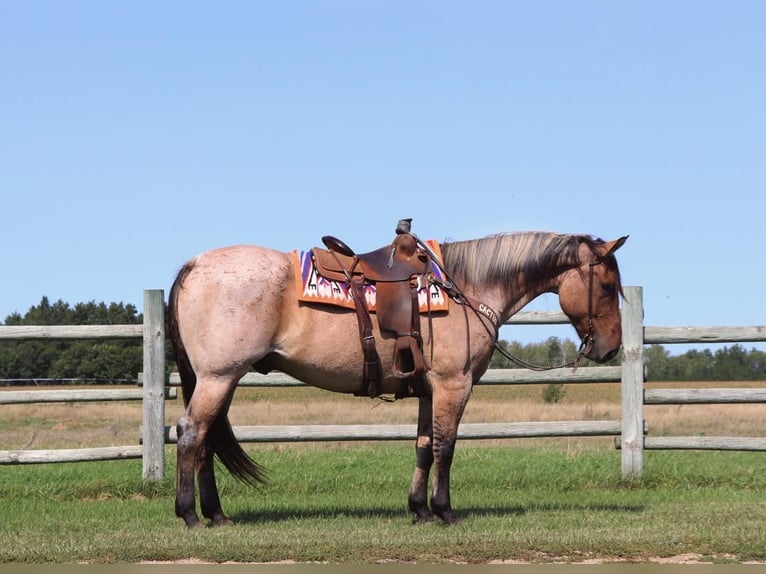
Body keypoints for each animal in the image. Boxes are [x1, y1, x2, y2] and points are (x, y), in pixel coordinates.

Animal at [168, 226, 632, 532]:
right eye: (607, 286)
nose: (610, 348)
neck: (467, 287)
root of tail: (194, 264)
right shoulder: (453, 384)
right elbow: (446, 446)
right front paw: (445, 511)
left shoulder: (429, 390)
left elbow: (424, 446)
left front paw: (420, 509)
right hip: (218, 377)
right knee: (192, 434)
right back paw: (190, 514)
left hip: (220, 380)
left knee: (206, 438)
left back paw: (216, 514)